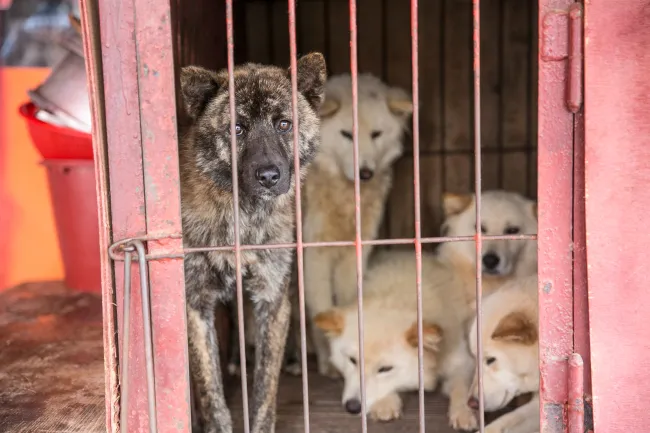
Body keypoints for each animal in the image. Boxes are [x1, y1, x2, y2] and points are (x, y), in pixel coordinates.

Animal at [179, 53, 326, 433]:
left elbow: (264, 390)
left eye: (284, 124)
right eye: (237, 128)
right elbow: (210, 389)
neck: (245, 217)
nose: (269, 176)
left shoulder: (272, 298)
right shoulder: (196, 304)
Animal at [303, 73, 413, 377]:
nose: (366, 173)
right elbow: (320, 310)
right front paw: (330, 362)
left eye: (376, 134)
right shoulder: (314, 255)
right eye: (346, 134)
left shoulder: (353, 254)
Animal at [314, 250, 480, 430]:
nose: (352, 407)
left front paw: (463, 412)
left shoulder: (462, 362)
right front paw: (386, 403)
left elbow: (462, 387)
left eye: (385, 369)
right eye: (352, 360)